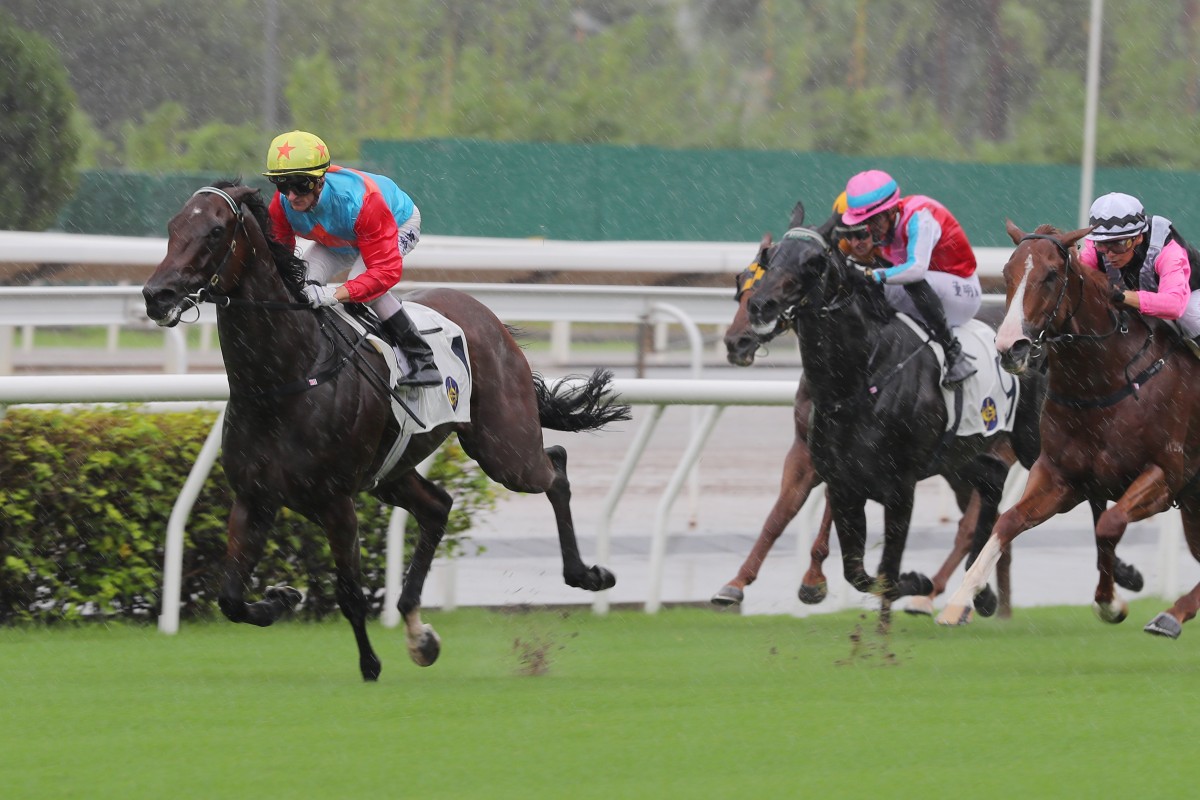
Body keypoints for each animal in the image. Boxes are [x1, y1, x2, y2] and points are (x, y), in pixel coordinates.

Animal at [141, 183, 633, 681]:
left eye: (215, 230)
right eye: (173, 226)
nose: (156, 294)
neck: (282, 379)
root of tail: (487, 316)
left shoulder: (336, 502)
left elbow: (350, 594)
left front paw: (370, 665)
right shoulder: (253, 498)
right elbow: (230, 599)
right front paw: (281, 597)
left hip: (504, 449)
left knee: (554, 467)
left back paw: (588, 574)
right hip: (391, 473)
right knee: (438, 506)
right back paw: (420, 633)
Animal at [936, 221, 1200, 633]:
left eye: (1050, 275)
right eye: (1008, 273)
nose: (1010, 347)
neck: (1106, 383)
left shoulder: (1165, 474)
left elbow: (1108, 524)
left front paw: (1110, 603)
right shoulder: (1061, 476)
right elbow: (1008, 521)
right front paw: (960, 598)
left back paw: (1171, 615)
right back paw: (1173, 614)